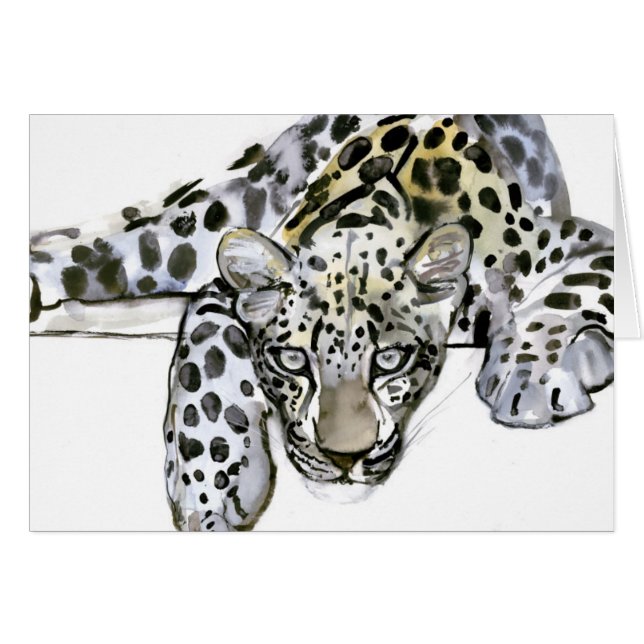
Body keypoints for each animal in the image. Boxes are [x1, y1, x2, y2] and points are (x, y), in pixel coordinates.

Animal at [29, 114, 614, 530]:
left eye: (390, 359)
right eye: (292, 360)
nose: (344, 458)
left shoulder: (584, 238)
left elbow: (569, 294)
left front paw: (530, 378)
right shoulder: (225, 283)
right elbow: (206, 344)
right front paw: (211, 482)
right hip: (198, 224)